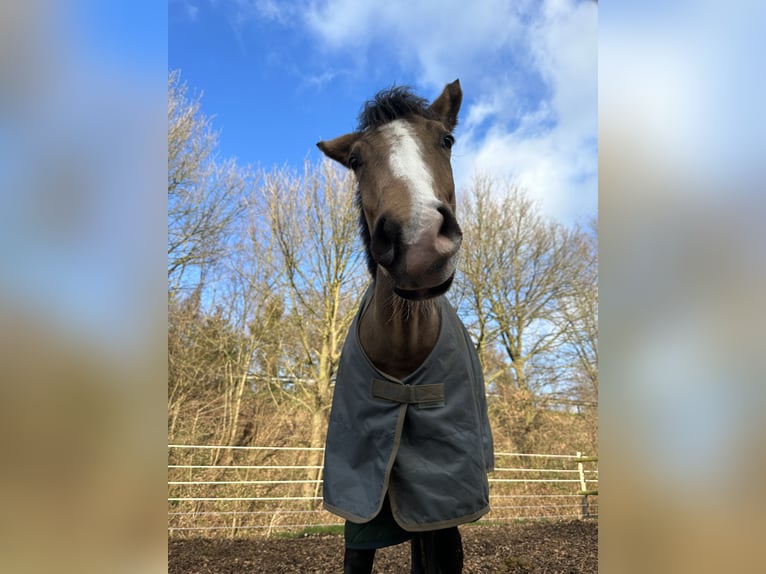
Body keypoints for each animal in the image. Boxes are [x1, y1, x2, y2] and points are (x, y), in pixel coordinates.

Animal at [320, 81, 496, 574]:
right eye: (356, 160)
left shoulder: (442, 502)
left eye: (447, 140)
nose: (416, 241)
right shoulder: (359, 505)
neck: (402, 352)